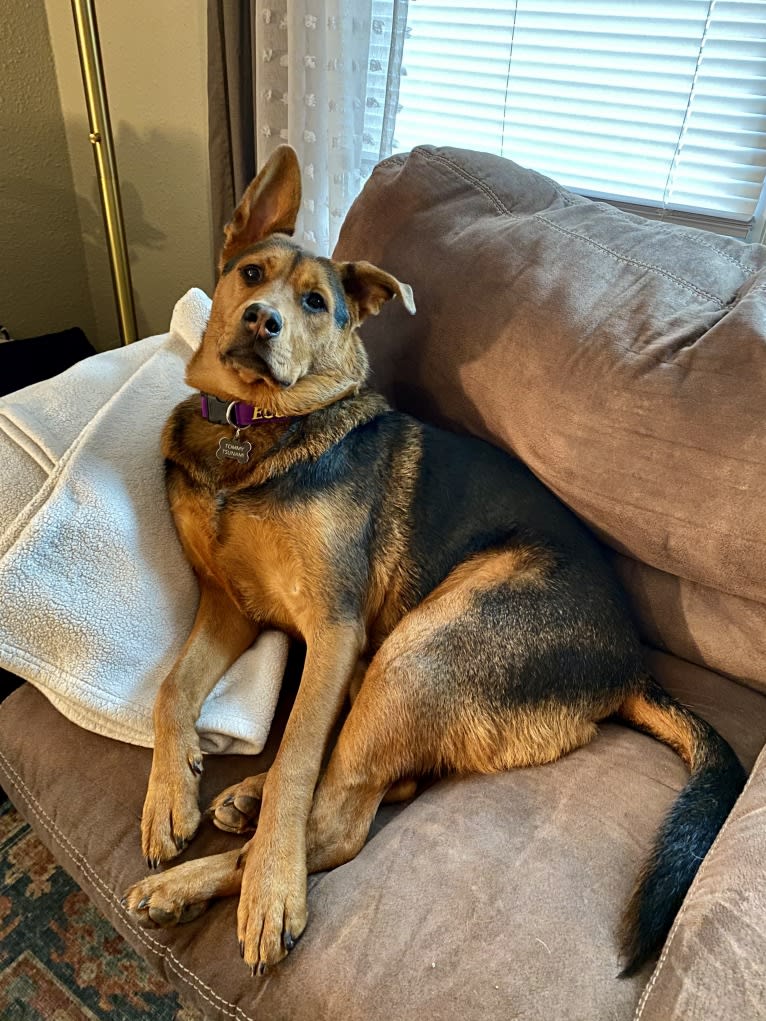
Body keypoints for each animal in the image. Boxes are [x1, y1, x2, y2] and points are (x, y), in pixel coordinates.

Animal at [123, 143, 747, 971]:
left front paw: (270, 888)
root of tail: (631, 667)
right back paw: (236, 807)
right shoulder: (230, 607)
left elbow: (296, 760)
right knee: (382, 782)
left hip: (418, 649)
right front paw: (168, 796)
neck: (254, 427)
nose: (262, 320)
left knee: (337, 819)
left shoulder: (333, 630)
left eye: (316, 302)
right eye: (251, 274)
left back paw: (213, 877)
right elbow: (173, 689)